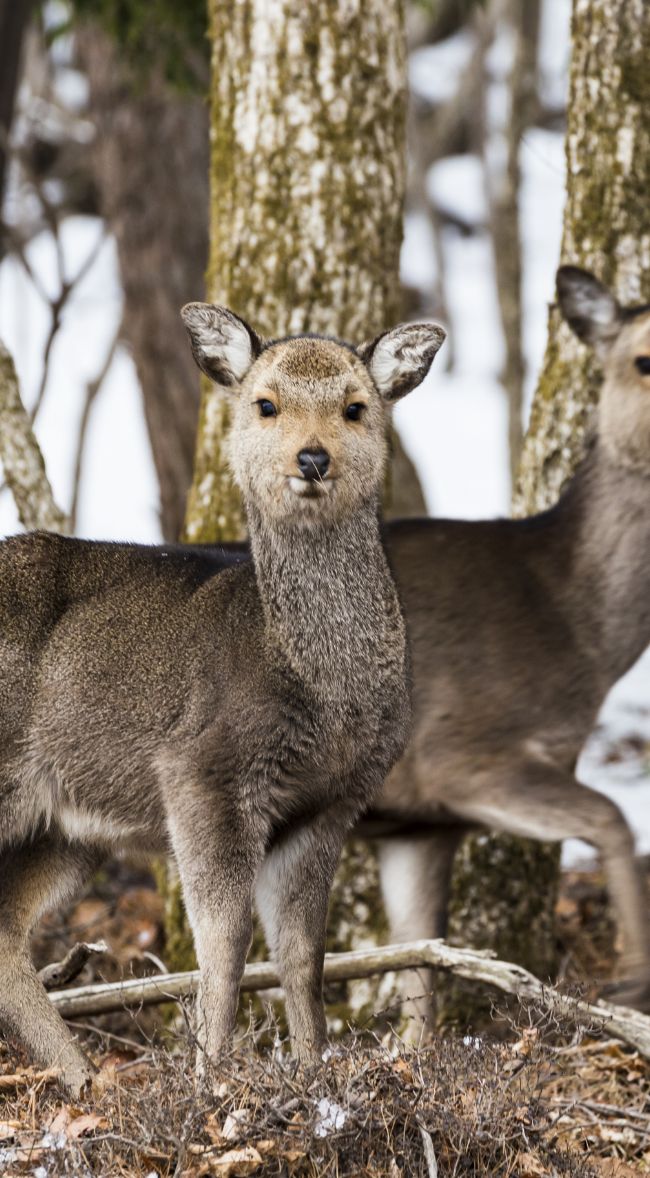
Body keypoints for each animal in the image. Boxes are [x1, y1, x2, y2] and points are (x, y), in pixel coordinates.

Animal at [0, 305, 446, 1094]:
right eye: (265, 404)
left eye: (355, 407)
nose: (311, 459)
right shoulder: (202, 774)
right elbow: (226, 940)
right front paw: (212, 1077)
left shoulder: (330, 803)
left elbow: (302, 952)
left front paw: (314, 1071)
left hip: (62, 827)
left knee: (4, 933)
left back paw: (85, 1079)